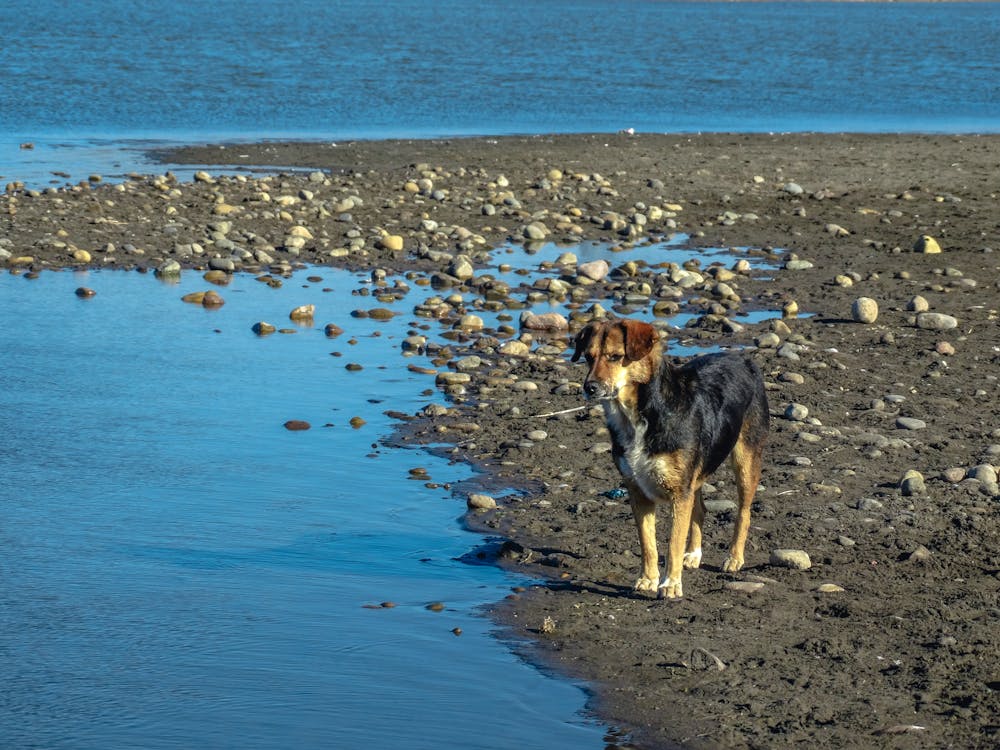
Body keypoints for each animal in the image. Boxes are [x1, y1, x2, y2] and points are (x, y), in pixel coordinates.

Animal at [576, 320, 768, 604]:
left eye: (615, 356)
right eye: (588, 357)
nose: (590, 387)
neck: (638, 415)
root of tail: (743, 358)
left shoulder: (679, 493)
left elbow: (673, 542)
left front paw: (670, 584)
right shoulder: (638, 491)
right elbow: (648, 543)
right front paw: (647, 580)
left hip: (745, 460)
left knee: (743, 512)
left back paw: (734, 557)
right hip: (694, 474)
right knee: (700, 509)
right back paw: (694, 554)